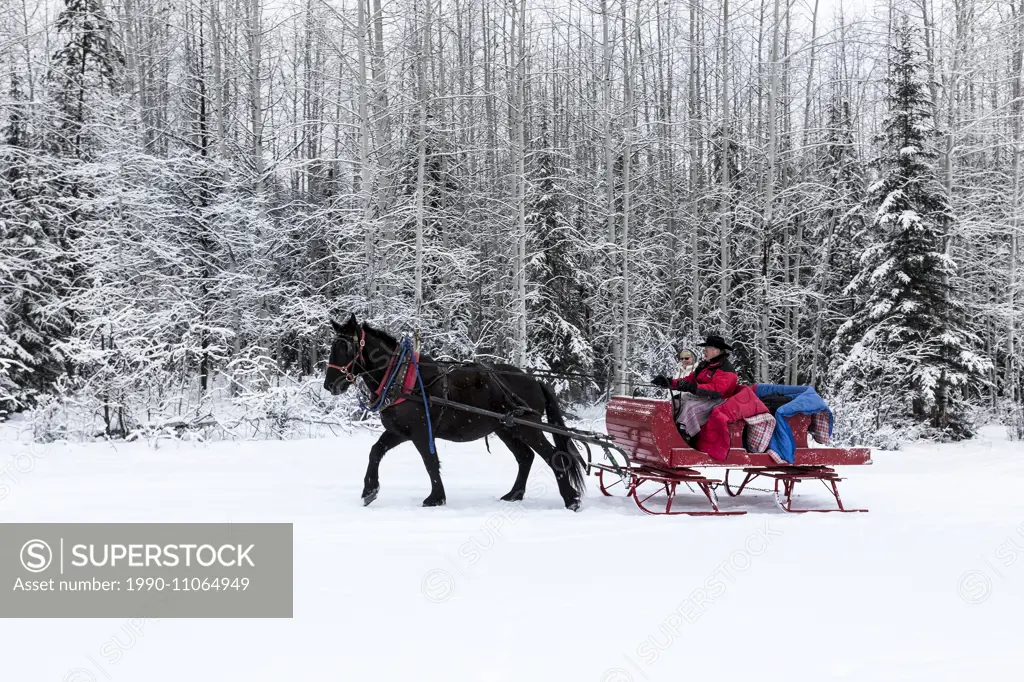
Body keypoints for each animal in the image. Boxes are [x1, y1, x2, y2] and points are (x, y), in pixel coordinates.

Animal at [323, 315, 589, 507]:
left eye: (345, 348)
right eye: (332, 346)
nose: (329, 385)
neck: (401, 377)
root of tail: (535, 381)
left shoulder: (420, 432)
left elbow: (430, 462)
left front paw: (436, 498)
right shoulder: (399, 431)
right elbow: (375, 451)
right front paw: (370, 490)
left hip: (527, 427)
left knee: (554, 457)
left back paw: (571, 499)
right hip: (506, 429)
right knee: (525, 457)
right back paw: (514, 494)